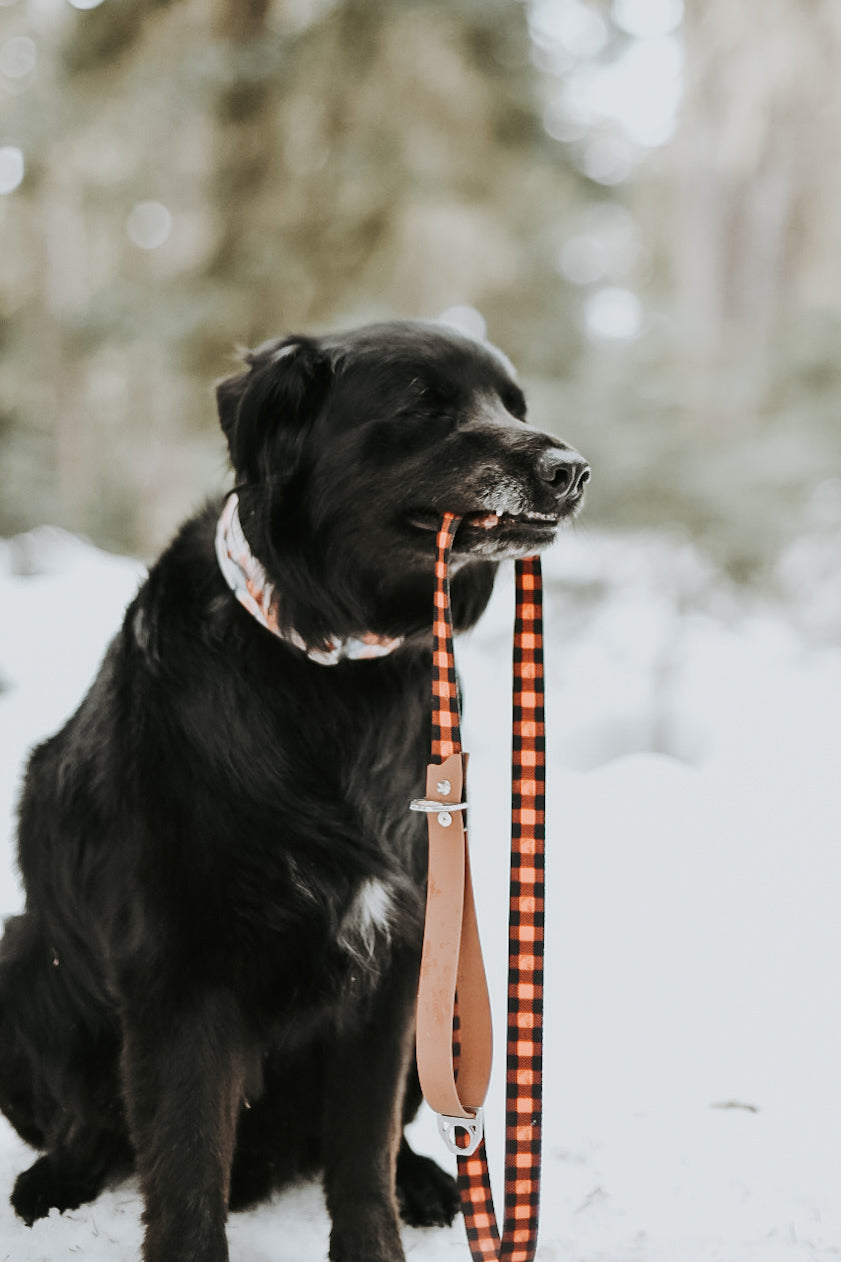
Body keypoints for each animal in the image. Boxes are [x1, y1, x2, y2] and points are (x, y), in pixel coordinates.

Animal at [0, 320, 585, 1256]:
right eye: (422, 404)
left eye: (512, 405)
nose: (571, 470)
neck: (330, 660)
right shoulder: (181, 977)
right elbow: (186, 1171)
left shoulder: (398, 965)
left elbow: (361, 1154)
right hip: (23, 955)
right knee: (90, 1129)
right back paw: (53, 1181)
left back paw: (427, 1180)